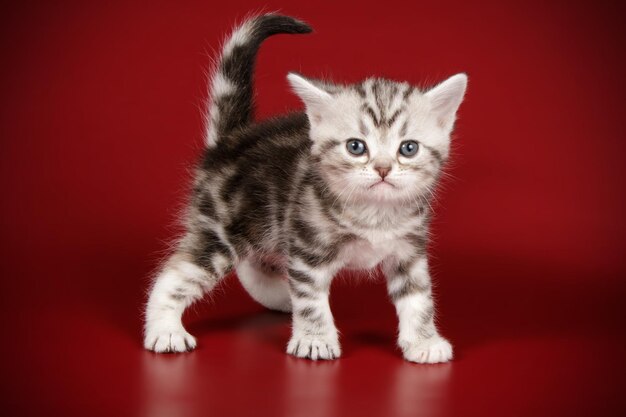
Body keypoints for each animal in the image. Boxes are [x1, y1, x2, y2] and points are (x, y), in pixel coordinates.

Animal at [141, 14, 464, 362]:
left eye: (408, 148)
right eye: (355, 147)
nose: (382, 169)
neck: (374, 213)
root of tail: (231, 140)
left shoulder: (409, 250)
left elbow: (419, 297)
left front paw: (423, 342)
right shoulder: (307, 250)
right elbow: (311, 300)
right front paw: (315, 339)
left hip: (266, 225)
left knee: (254, 264)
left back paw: (282, 297)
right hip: (223, 230)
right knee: (175, 274)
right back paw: (165, 331)